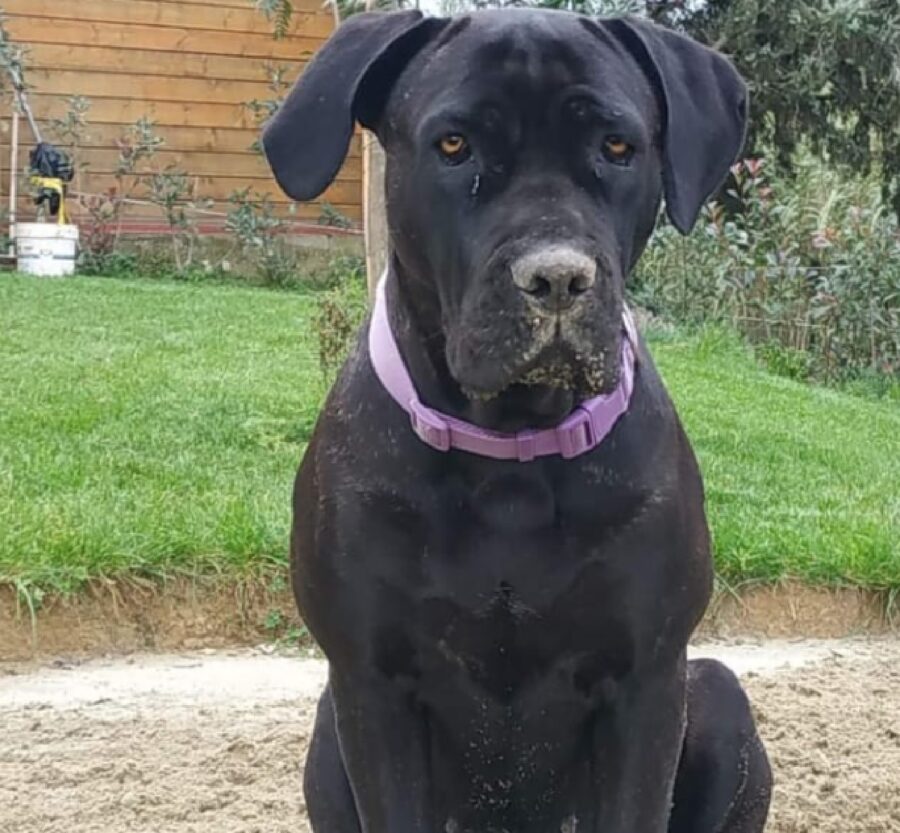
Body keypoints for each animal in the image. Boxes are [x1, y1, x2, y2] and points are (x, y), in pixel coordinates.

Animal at [264, 8, 768, 832]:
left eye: (617, 146)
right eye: (454, 144)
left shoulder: (647, 682)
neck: (508, 453)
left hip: (719, 695)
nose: (558, 277)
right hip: (325, 732)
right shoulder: (372, 686)